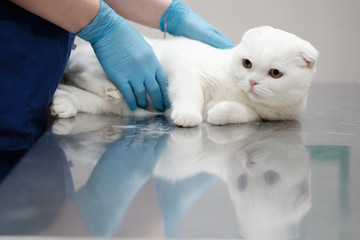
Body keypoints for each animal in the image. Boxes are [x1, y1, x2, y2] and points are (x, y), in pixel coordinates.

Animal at [50, 25, 318, 127]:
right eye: (247, 63)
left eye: (275, 73)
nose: (252, 81)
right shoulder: (187, 72)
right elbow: (190, 95)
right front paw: (189, 115)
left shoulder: (263, 115)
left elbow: (244, 114)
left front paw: (218, 113)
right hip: (97, 65)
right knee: (82, 73)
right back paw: (110, 88)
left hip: (106, 105)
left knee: (74, 93)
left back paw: (63, 104)